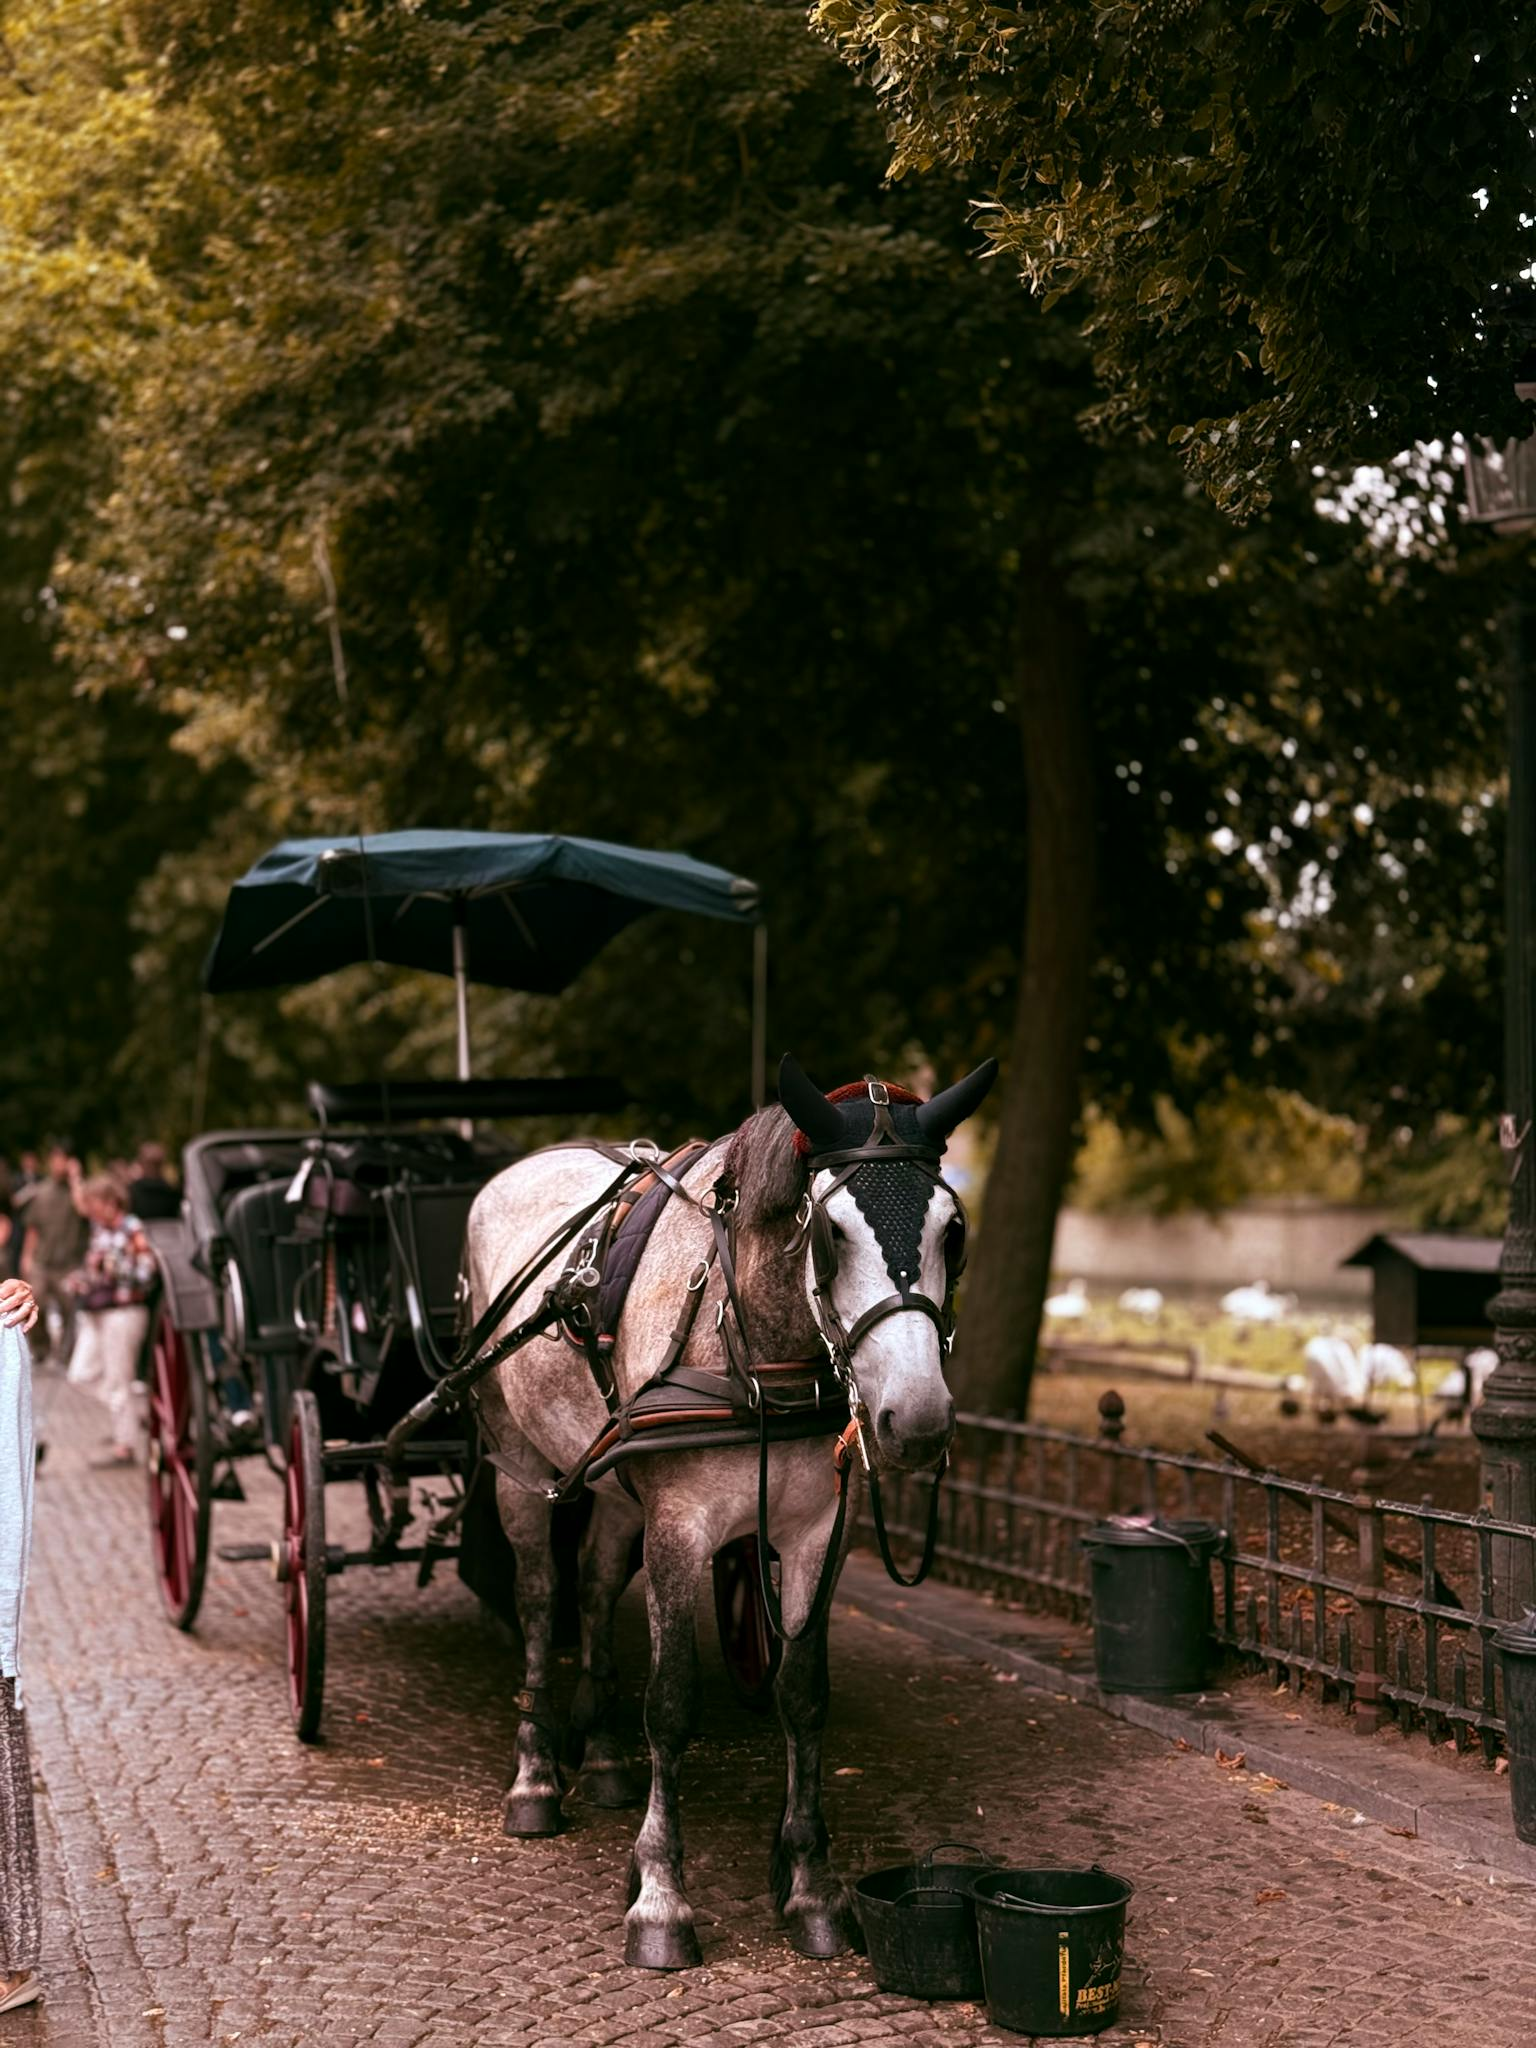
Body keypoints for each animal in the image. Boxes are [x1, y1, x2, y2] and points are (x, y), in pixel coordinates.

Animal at [463, 1052, 997, 1969]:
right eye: (830, 1234)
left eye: (952, 1233)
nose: (920, 1420)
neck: (759, 1348)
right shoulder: (680, 1530)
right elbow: (673, 1702)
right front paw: (659, 1895)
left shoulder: (819, 1533)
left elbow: (804, 1695)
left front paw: (811, 1886)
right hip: (519, 1466)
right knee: (539, 1600)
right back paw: (534, 1777)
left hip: (615, 1488)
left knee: (594, 1589)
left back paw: (605, 1759)